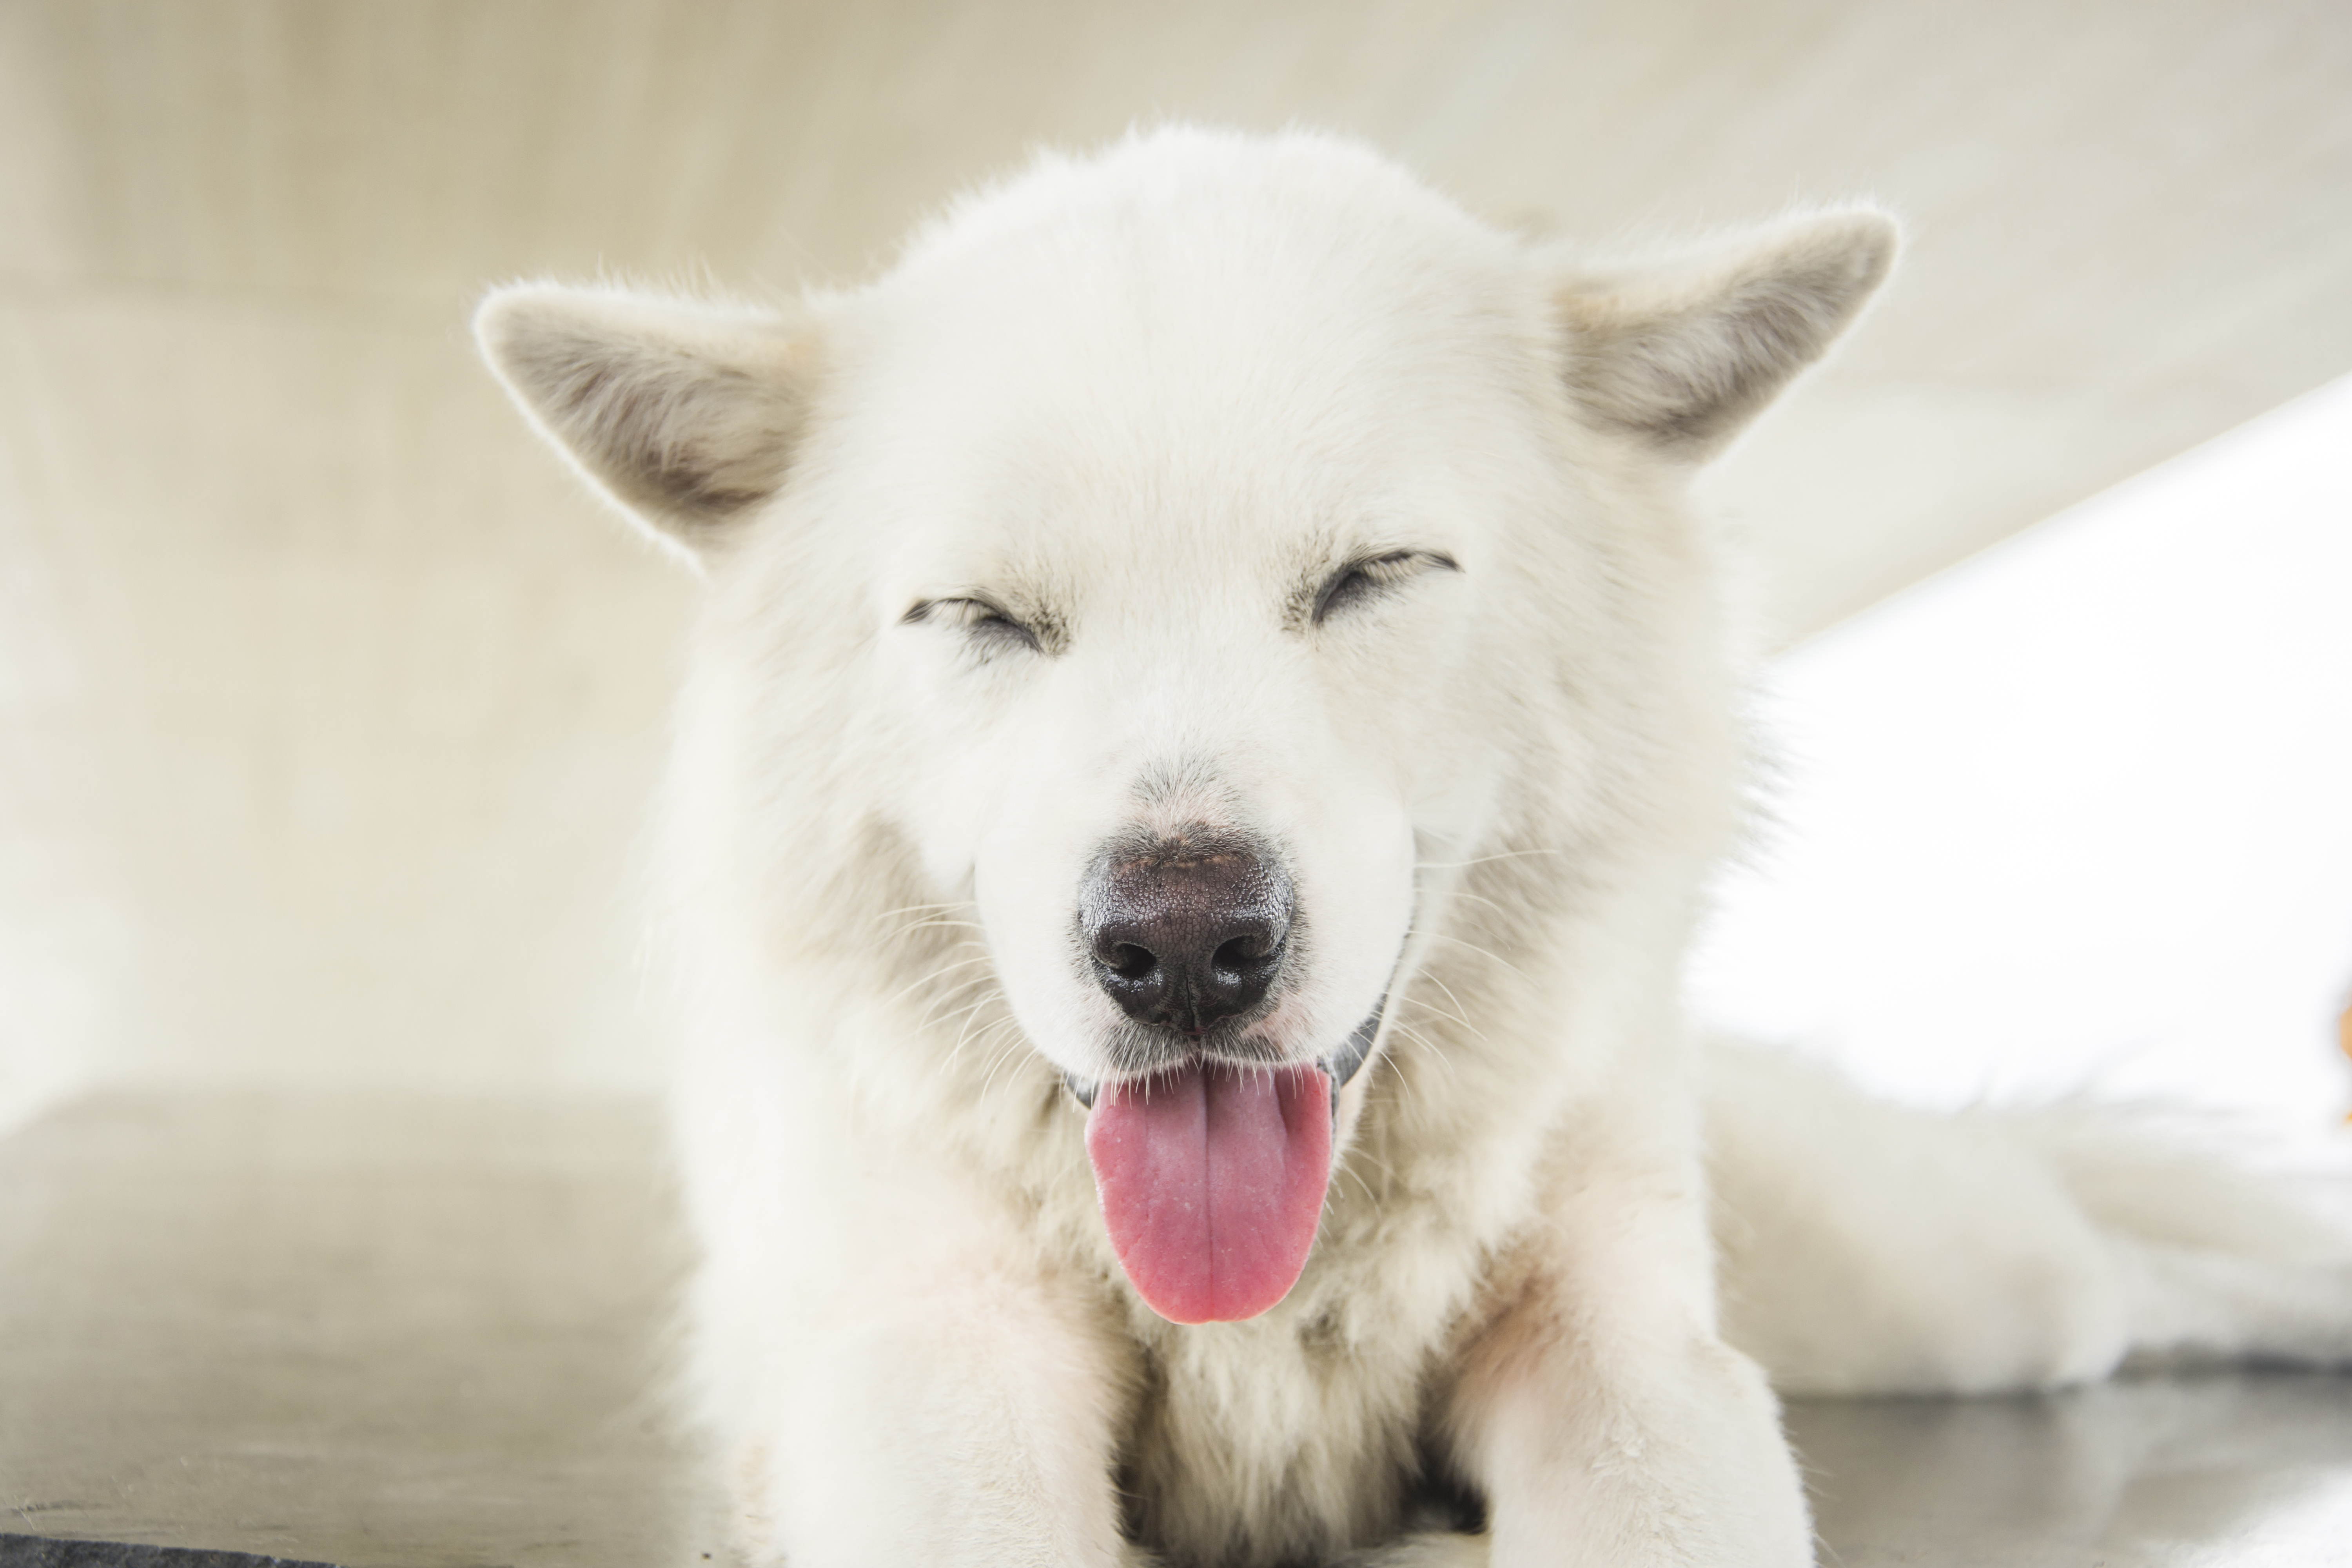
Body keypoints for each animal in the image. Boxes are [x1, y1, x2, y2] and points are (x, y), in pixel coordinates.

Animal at [473, 125, 2352, 1568]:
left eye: (1370, 577)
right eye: (986, 617)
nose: (1180, 941)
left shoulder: (1622, 1343)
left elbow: (1667, 1501)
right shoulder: (927, 1345)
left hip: (1951, 1295)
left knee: (2130, 1268)